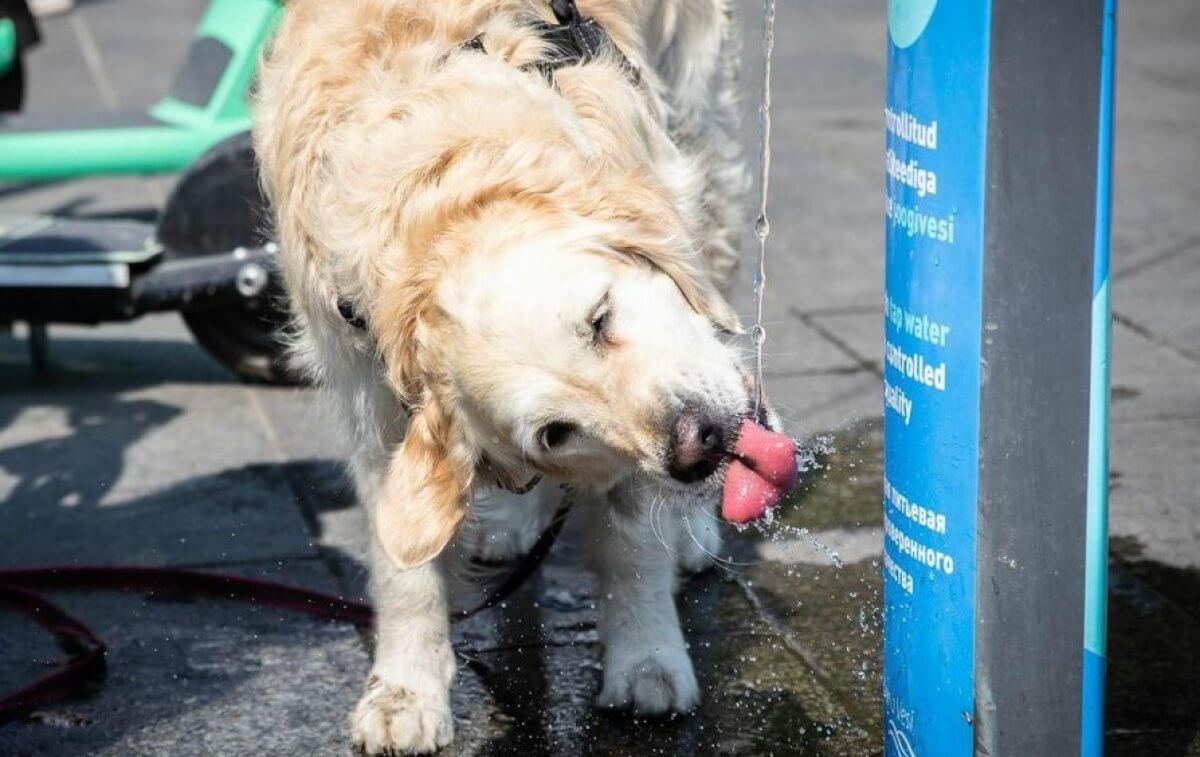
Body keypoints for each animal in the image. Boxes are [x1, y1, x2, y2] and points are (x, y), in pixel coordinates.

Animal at [254, 1, 796, 753]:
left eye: (600, 318)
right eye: (554, 433)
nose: (698, 443)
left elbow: (632, 541)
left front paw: (648, 660)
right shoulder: (371, 398)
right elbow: (403, 567)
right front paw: (404, 690)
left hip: (699, 127)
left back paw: (689, 529)